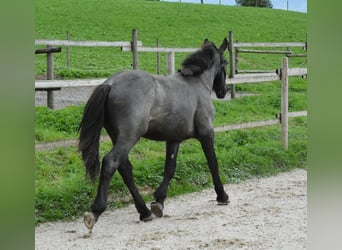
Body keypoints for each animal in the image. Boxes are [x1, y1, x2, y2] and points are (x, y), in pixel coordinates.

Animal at [78, 38, 230, 231]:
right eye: (225, 63)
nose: (223, 91)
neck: (196, 84)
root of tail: (110, 84)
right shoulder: (206, 134)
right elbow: (213, 163)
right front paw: (222, 196)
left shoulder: (173, 139)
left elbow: (169, 168)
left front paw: (158, 202)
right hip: (129, 137)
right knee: (111, 162)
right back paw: (96, 211)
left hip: (117, 136)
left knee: (125, 168)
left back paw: (144, 211)